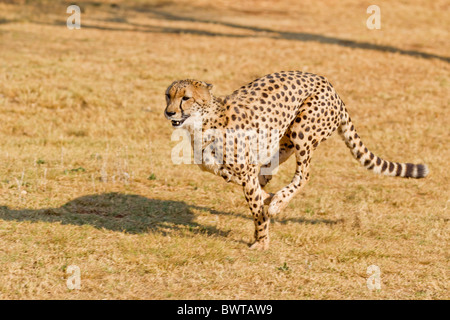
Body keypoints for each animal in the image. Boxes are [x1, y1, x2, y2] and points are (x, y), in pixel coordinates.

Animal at [163, 70, 428, 250]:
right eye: (168, 95)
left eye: (186, 98)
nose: (169, 112)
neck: (202, 123)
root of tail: (329, 85)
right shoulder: (236, 170)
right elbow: (249, 188)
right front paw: (265, 205)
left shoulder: (245, 172)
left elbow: (257, 211)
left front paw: (262, 240)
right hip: (286, 139)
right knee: (272, 169)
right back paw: (272, 195)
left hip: (303, 130)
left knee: (304, 174)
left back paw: (278, 203)